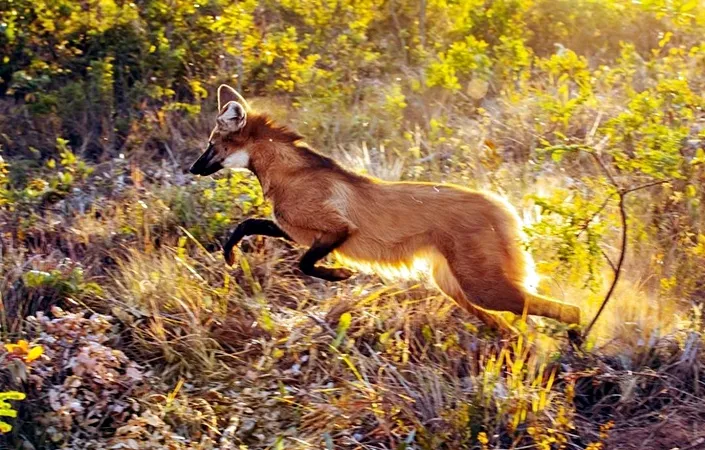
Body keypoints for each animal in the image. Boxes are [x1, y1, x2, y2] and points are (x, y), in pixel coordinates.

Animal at [188, 84, 576, 332]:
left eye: (211, 145)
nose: (191, 169)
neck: (288, 174)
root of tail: (501, 203)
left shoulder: (337, 230)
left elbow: (304, 264)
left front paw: (340, 275)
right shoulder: (294, 229)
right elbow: (246, 226)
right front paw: (229, 256)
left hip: (482, 286)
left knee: (570, 310)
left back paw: (577, 343)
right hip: (454, 287)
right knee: (515, 324)